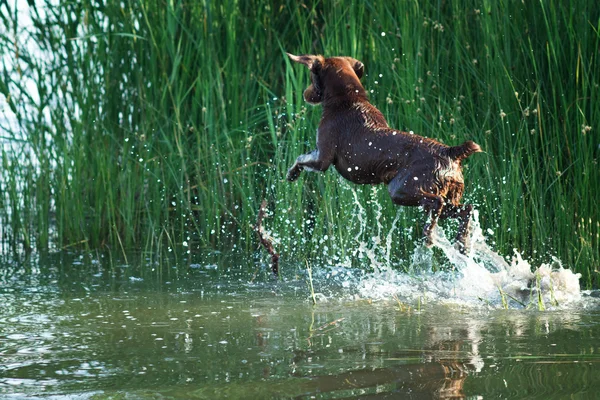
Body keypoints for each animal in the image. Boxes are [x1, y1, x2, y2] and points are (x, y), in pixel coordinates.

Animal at [288, 53, 482, 253]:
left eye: (312, 75)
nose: (305, 94)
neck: (347, 98)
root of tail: (450, 152)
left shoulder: (323, 158)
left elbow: (301, 158)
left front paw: (292, 173)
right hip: (448, 193)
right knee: (466, 209)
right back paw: (462, 242)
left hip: (402, 188)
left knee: (437, 203)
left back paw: (428, 236)